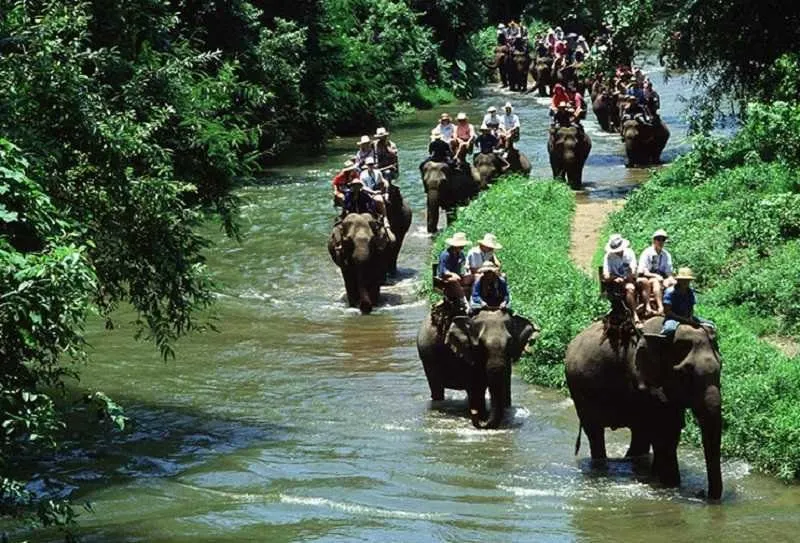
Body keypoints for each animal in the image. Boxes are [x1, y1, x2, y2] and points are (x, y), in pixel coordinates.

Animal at [565, 317, 722, 500]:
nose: (702, 493)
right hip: (580, 392)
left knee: (639, 434)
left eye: (721, 368)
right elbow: (663, 433)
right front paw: (670, 485)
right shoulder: (642, 381)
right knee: (595, 432)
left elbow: (670, 430)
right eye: (685, 374)